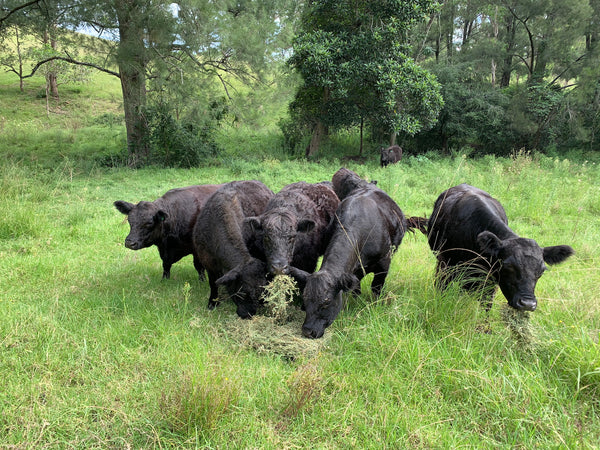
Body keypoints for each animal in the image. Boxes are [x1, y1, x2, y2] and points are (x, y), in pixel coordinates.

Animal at [192, 180, 274, 320]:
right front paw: (213, 302)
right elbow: (213, 283)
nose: (249, 314)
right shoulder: (208, 262)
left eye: (261, 291)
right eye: (243, 291)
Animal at [292, 168, 412, 338]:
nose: (308, 331)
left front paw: (376, 305)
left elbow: (376, 287)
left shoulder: (384, 263)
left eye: (326, 302)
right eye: (305, 299)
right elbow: (355, 288)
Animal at [424, 185, 576, 312]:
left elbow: (486, 304)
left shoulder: (491, 279)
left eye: (542, 270)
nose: (527, 304)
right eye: (508, 266)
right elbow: (441, 290)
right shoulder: (444, 265)